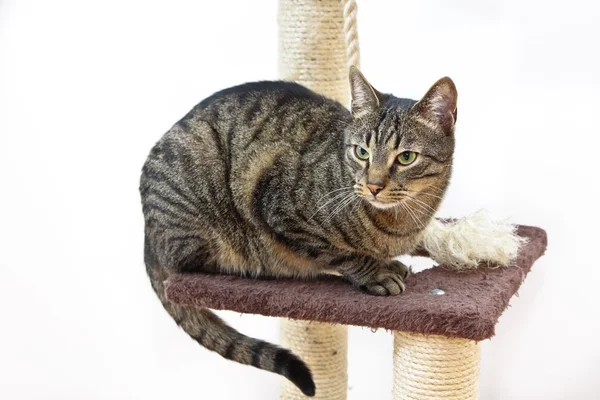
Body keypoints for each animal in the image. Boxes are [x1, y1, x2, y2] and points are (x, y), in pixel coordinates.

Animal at [139, 67, 460, 396]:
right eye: (361, 152)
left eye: (406, 157)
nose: (373, 185)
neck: (401, 221)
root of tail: (148, 234)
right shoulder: (281, 211)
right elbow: (342, 254)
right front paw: (376, 272)